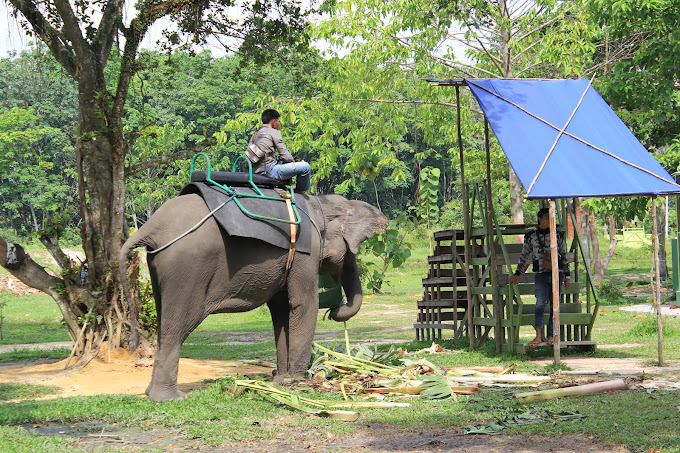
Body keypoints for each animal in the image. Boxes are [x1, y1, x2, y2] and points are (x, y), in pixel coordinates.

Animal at [120, 191, 388, 400]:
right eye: (350, 250)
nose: (335, 312)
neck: (319, 202)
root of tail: (152, 227)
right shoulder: (307, 251)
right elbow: (303, 305)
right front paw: (297, 381)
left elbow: (281, 310)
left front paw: (281, 380)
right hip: (186, 268)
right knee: (177, 327)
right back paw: (169, 398)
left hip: (158, 265)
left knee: (164, 321)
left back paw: (153, 394)